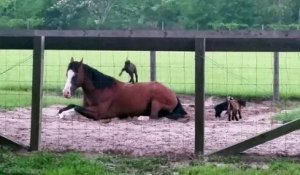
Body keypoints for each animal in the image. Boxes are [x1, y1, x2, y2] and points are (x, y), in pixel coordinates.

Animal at [57, 57, 188, 120]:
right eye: (67, 74)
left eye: (75, 75)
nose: (66, 93)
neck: (101, 89)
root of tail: (172, 93)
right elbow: (72, 105)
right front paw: (61, 112)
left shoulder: (98, 113)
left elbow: (76, 108)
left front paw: (64, 114)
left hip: (156, 102)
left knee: (154, 116)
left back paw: (140, 117)